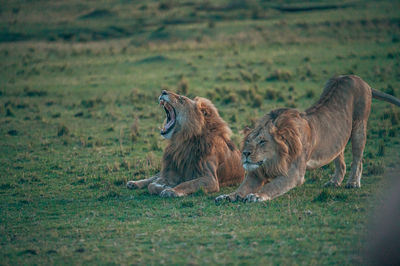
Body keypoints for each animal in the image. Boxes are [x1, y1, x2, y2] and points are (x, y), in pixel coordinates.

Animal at [216, 75, 400, 204]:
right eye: (247, 141)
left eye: (262, 141)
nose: (245, 154)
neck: (274, 160)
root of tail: (360, 79)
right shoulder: (256, 172)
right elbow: (242, 187)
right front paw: (228, 196)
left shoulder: (294, 173)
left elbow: (273, 185)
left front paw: (256, 196)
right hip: (337, 139)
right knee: (340, 161)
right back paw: (334, 182)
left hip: (359, 127)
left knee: (358, 159)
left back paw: (353, 182)